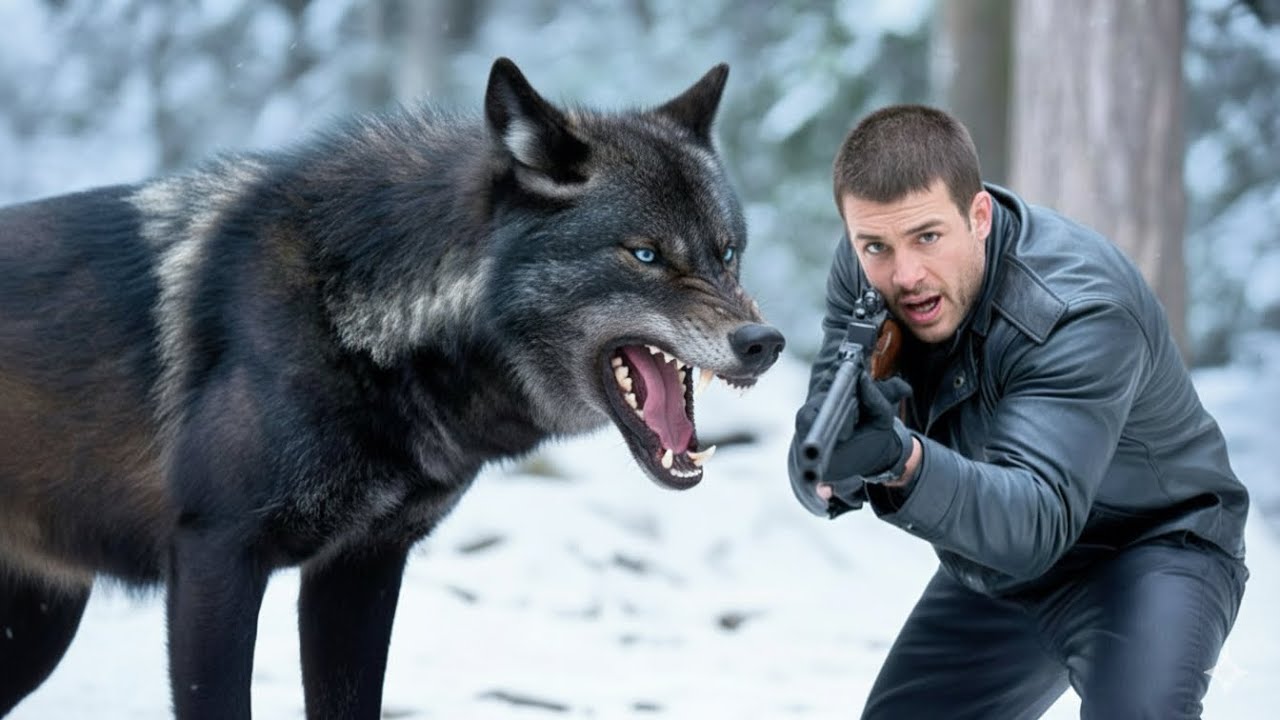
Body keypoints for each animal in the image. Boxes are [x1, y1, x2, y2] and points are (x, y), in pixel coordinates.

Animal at [0, 58, 783, 718]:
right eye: (645, 254)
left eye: (727, 252)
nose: (764, 343)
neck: (358, 321)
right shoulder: (214, 557)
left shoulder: (361, 568)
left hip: (40, 628)